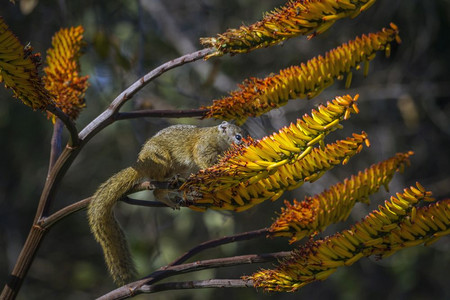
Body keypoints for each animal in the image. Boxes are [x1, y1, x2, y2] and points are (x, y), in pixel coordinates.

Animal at [86, 120, 244, 284]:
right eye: (237, 136)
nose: (242, 143)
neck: (218, 139)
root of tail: (141, 164)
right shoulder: (204, 145)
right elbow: (202, 159)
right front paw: (214, 169)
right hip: (161, 159)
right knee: (158, 181)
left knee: (159, 190)